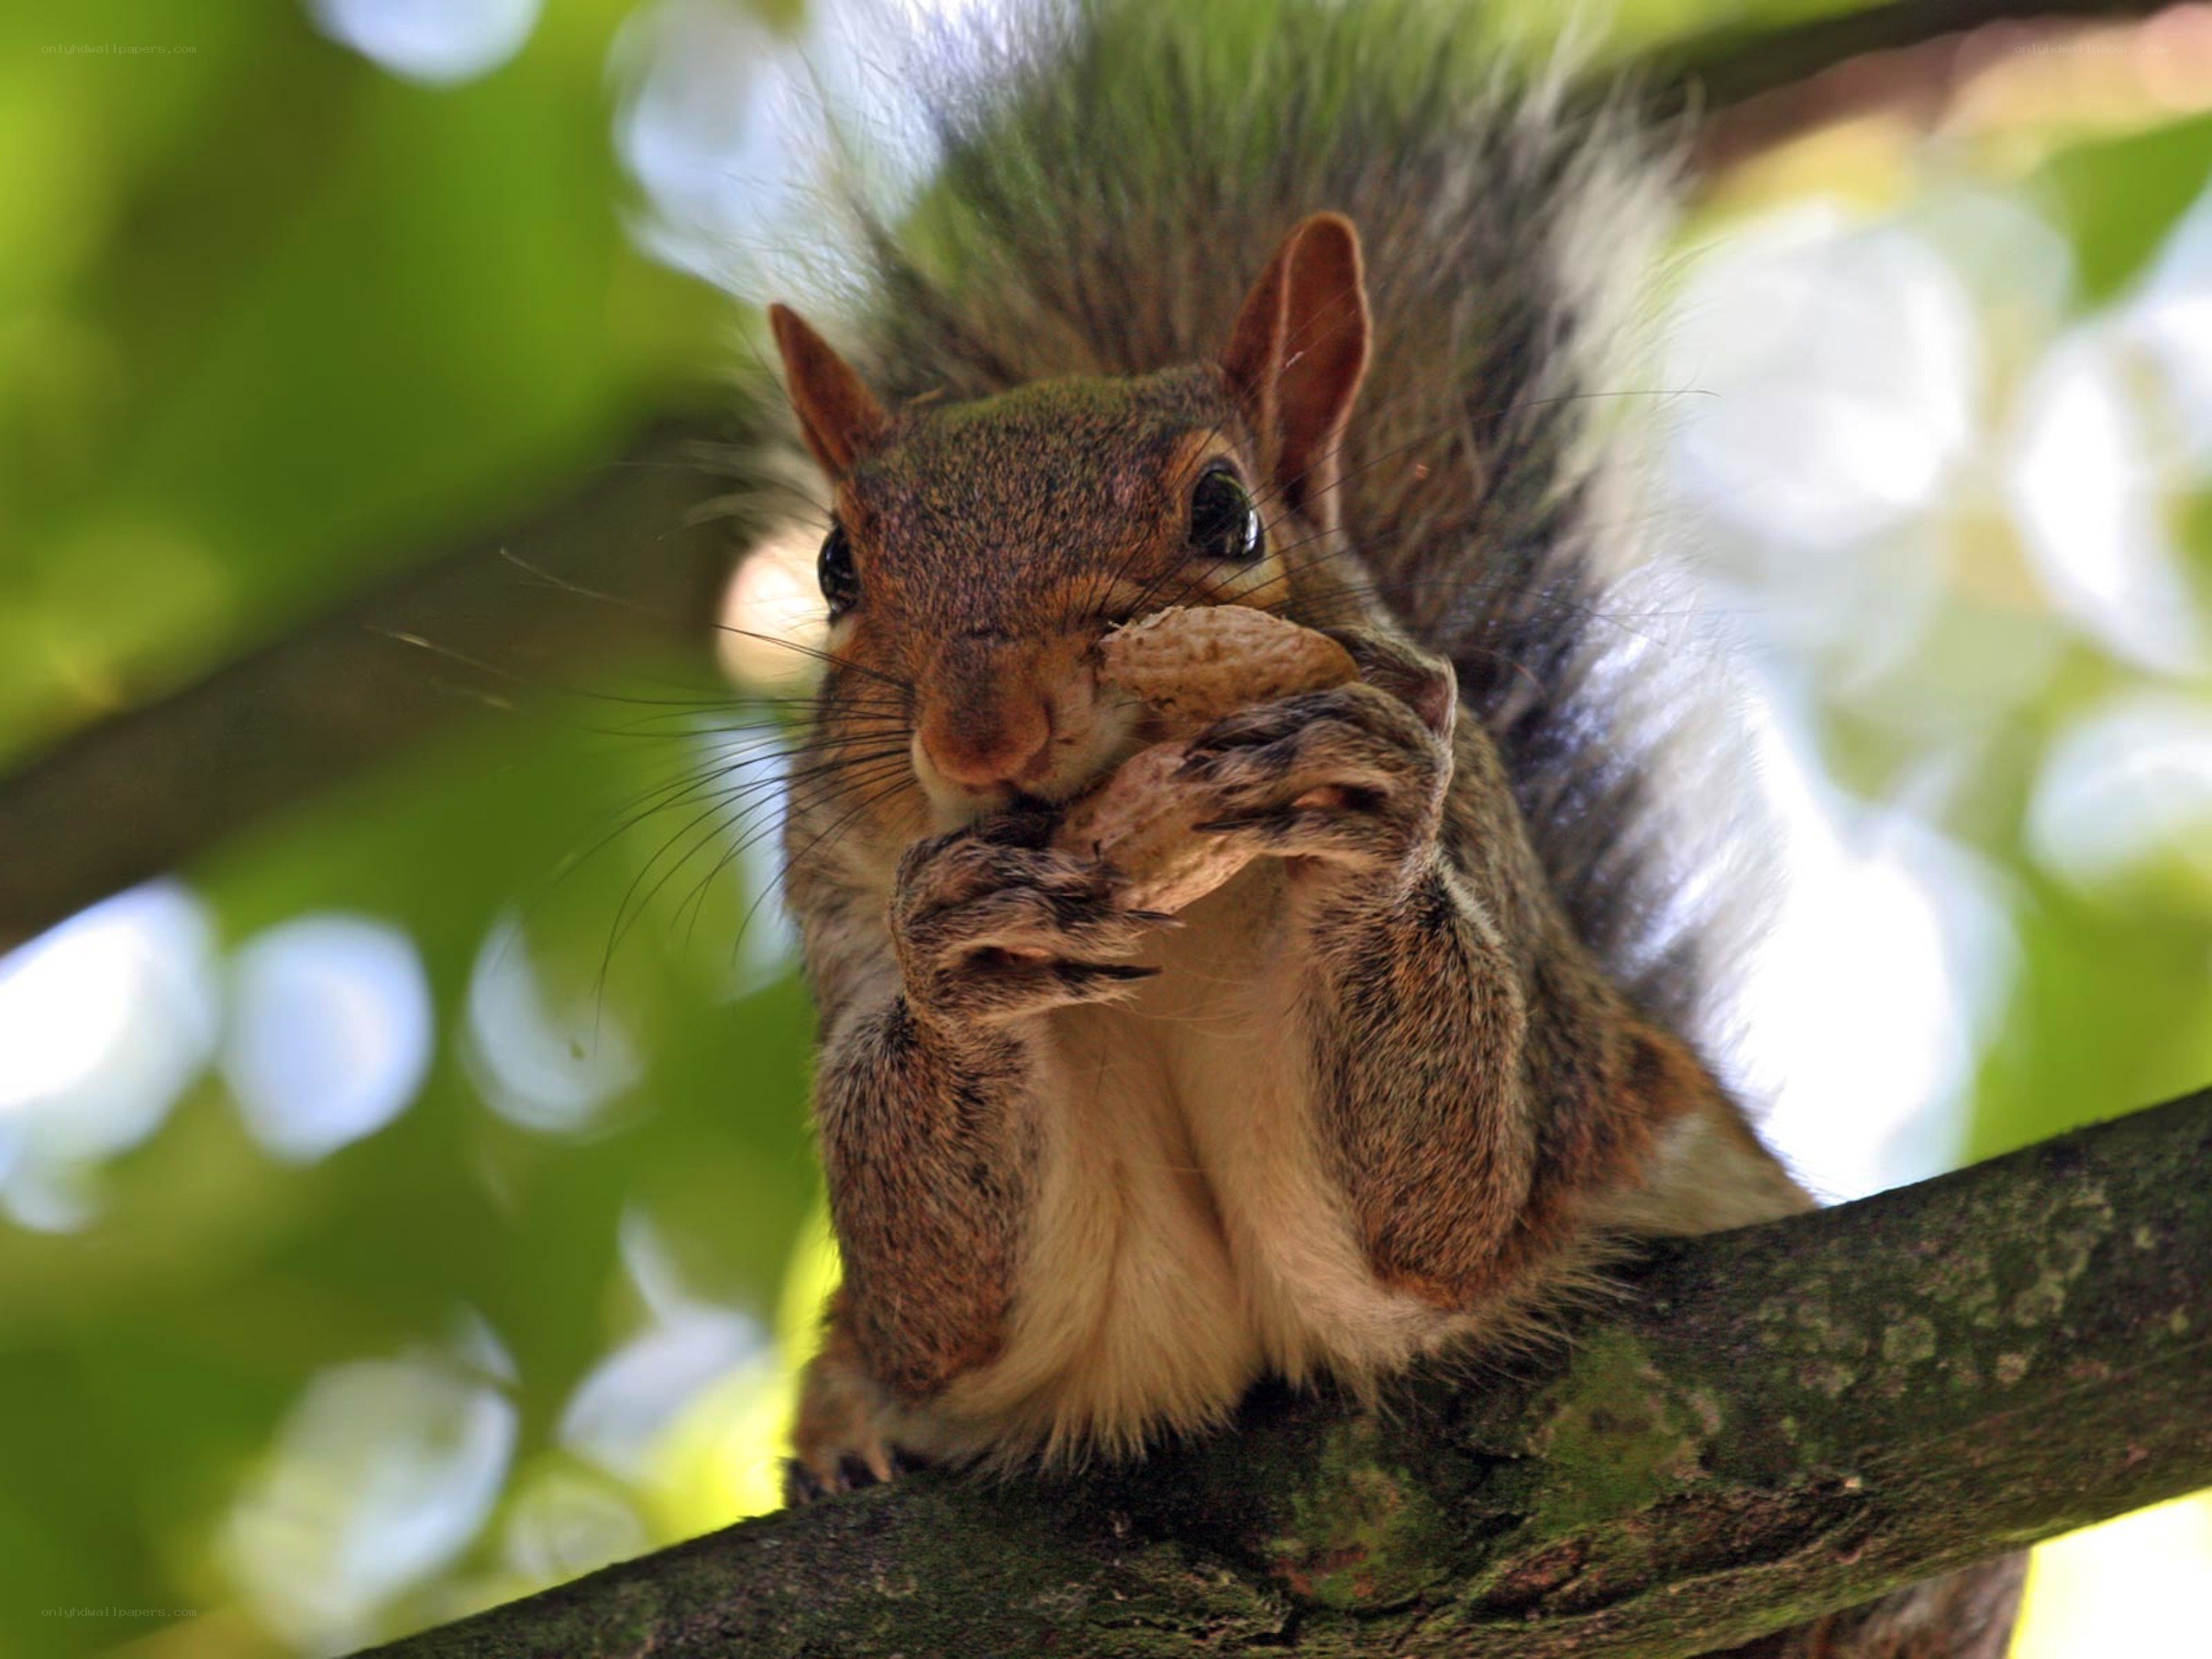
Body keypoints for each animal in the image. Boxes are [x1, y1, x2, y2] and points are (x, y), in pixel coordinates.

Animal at [750, 2, 2024, 1653]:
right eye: (836, 567)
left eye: (1229, 516)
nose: (983, 735)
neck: (1186, 928)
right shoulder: (845, 928)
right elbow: (937, 1313)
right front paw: (961, 970)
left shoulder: (1490, 904)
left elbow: (1443, 1215)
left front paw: (1365, 827)